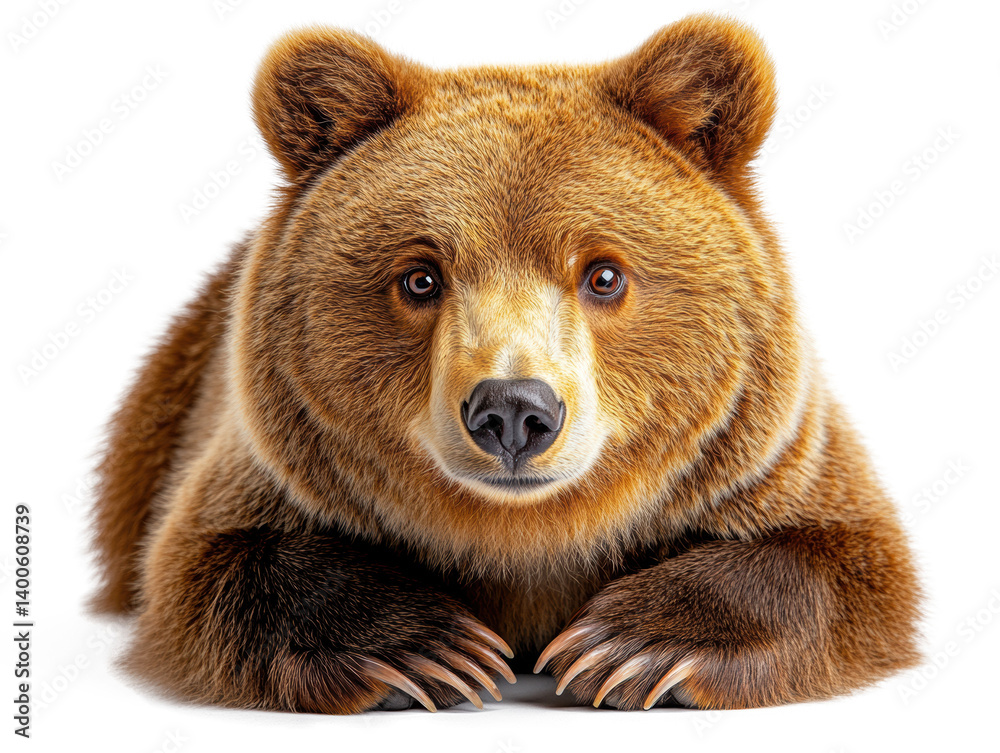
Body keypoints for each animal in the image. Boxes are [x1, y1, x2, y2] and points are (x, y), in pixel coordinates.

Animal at [89, 14, 922, 713]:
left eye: (603, 274)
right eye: (421, 276)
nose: (515, 410)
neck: (524, 536)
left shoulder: (770, 457)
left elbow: (845, 561)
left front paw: (628, 645)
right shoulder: (264, 465)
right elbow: (207, 566)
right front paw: (431, 647)